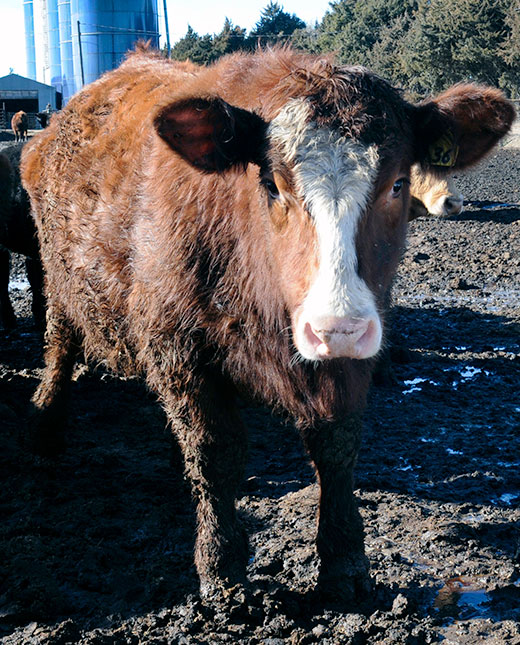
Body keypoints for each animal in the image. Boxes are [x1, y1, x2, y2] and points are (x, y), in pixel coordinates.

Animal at [21, 46, 514, 603]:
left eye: (397, 184)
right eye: (274, 186)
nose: (335, 325)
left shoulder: (349, 351)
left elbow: (337, 447)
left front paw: (345, 562)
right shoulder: (176, 348)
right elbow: (215, 452)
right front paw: (221, 566)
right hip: (58, 281)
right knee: (60, 348)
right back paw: (45, 425)